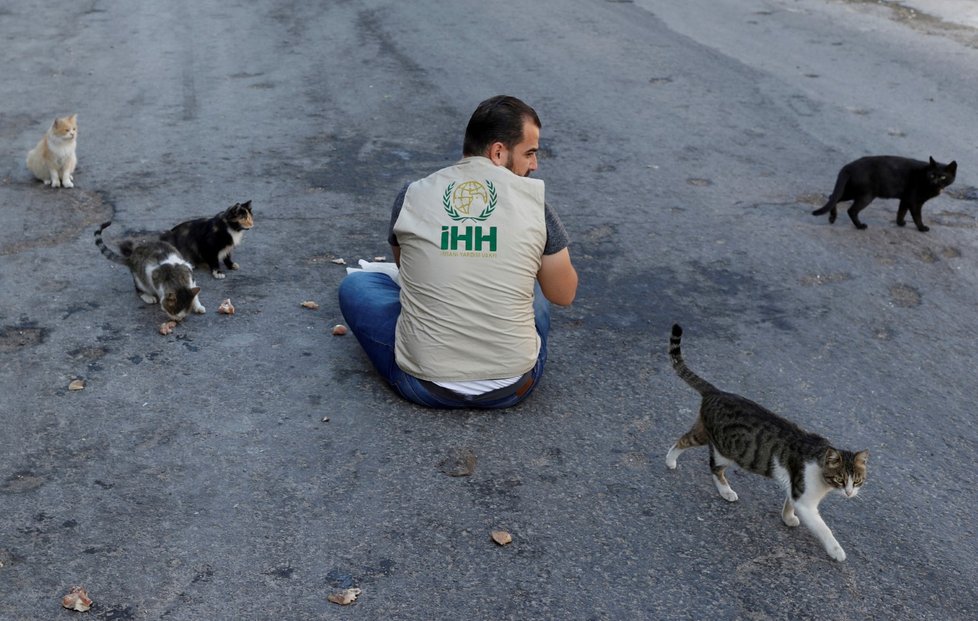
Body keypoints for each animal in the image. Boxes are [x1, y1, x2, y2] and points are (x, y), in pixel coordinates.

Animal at [668, 324, 864, 560]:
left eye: (857, 481)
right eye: (840, 479)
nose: (850, 493)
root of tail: (717, 392)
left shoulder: (794, 487)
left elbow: (789, 503)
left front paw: (787, 518)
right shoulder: (805, 500)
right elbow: (823, 528)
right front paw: (836, 551)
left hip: (707, 433)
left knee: (686, 442)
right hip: (726, 450)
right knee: (710, 464)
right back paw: (717, 486)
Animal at [808, 155, 952, 232]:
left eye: (943, 177)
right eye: (932, 175)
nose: (935, 181)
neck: (924, 174)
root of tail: (848, 166)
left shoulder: (905, 199)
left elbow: (901, 211)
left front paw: (900, 223)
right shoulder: (914, 201)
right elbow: (917, 216)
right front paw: (922, 228)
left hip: (852, 191)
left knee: (833, 197)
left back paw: (832, 218)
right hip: (865, 195)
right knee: (851, 210)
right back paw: (860, 226)